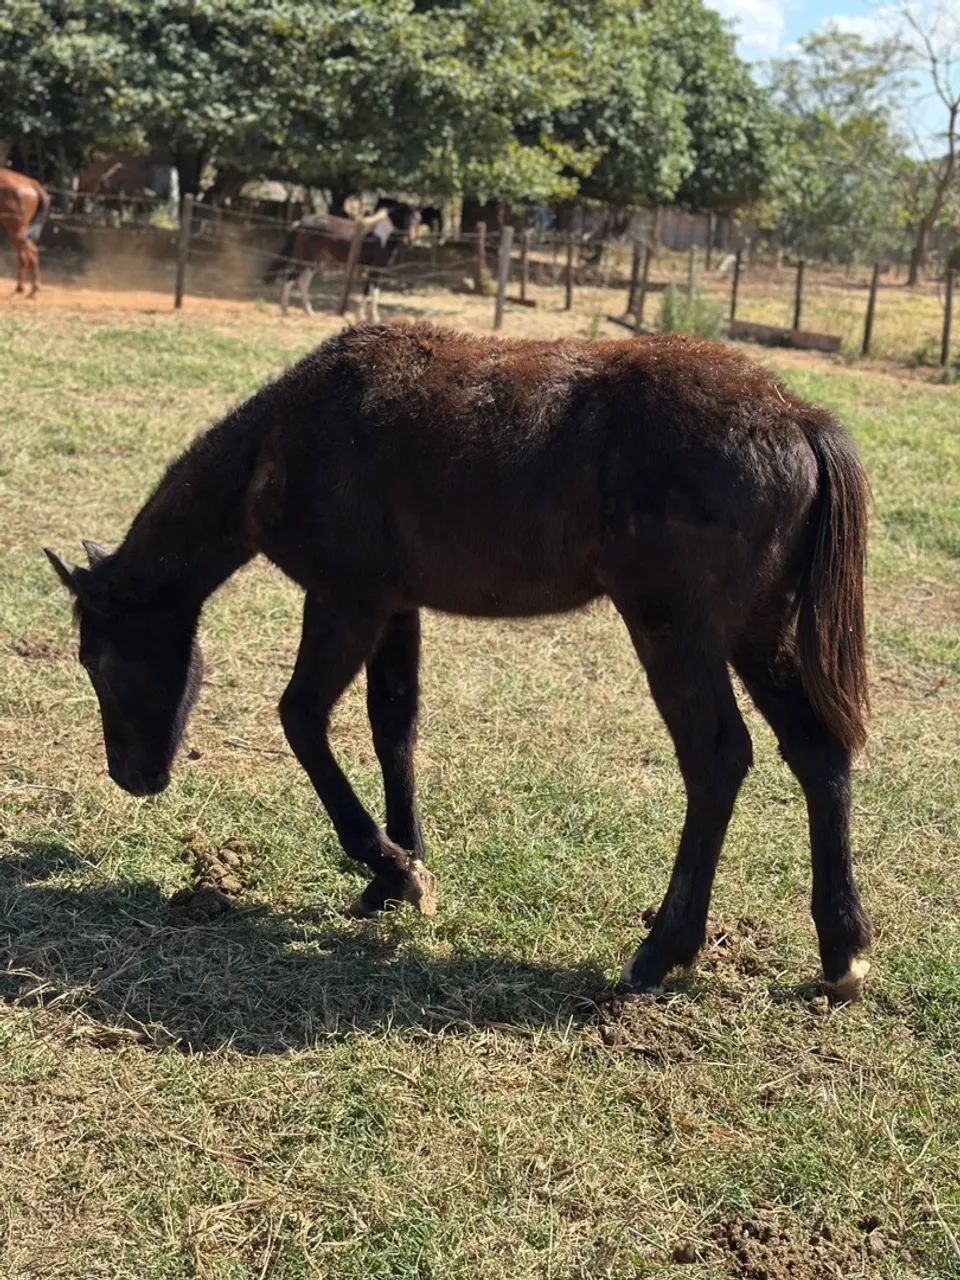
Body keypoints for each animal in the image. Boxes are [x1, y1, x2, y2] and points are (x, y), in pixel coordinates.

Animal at [0, 167, 50, 296]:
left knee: (25, 256)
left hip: (15, 228)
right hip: (20, 229)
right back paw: (33, 287)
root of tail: (29, 182)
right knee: (31, 251)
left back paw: (22, 287)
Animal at [45, 322, 872, 1003]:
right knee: (816, 751)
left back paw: (661, 950)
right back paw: (843, 952)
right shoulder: (395, 607)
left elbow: (301, 718)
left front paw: (388, 864)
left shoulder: (345, 602)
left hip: (677, 632)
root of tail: (801, 419)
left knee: (717, 758)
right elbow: (393, 725)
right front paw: (396, 874)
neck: (286, 441)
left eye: (99, 660)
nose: (132, 776)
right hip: (756, 633)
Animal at [265, 202, 420, 319]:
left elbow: (366, 291)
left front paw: (361, 315)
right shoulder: (376, 268)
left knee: (303, 282)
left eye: (418, 221)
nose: (411, 241)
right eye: (406, 219)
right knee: (290, 279)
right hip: (305, 259)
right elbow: (374, 292)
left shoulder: (371, 268)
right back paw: (285, 309)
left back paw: (309, 312)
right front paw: (375, 318)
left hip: (314, 261)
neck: (381, 236)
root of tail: (301, 223)